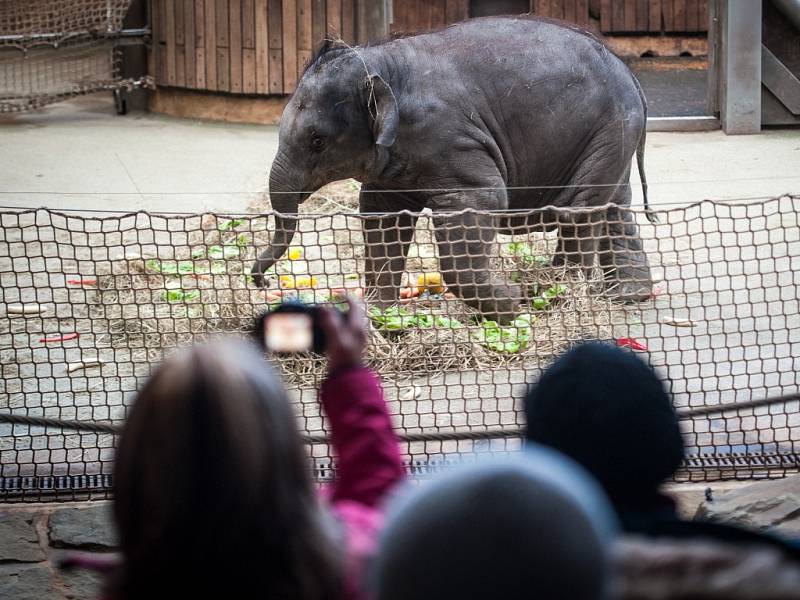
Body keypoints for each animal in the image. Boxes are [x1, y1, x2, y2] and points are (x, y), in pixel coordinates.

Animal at [253, 15, 652, 324]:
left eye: (316, 141)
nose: (261, 283)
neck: (384, 65)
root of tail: (630, 74)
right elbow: (382, 215)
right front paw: (378, 315)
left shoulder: (453, 142)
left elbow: (482, 201)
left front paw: (512, 303)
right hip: (611, 137)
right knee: (613, 202)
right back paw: (628, 295)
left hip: (608, 128)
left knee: (578, 209)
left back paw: (555, 296)